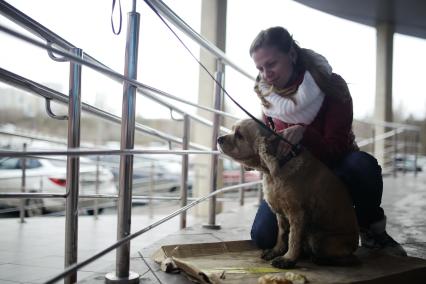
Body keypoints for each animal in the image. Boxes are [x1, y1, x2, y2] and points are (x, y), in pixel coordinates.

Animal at [216, 118, 360, 268]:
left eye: (239, 135)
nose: (218, 139)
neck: (278, 167)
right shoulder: (280, 213)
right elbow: (282, 234)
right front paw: (275, 251)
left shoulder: (297, 212)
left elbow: (293, 238)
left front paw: (287, 259)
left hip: (318, 239)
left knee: (351, 259)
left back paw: (320, 259)